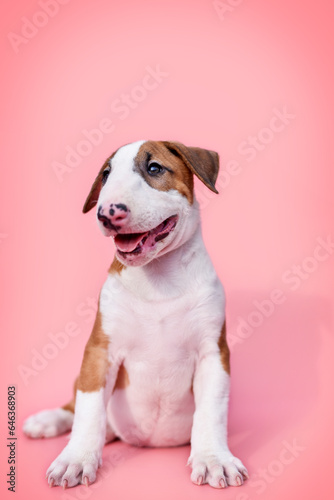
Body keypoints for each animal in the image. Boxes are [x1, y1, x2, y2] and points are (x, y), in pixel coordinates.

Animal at [23, 140, 248, 488]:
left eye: (154, 168)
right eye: (105, 175)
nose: (107, 212)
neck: (158, 278)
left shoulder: (214, 353)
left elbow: (211, 410)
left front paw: (214, 460)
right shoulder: (99, 352)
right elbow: (89, 409)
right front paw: (76, 459)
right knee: (75, 405)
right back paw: (48, 420)